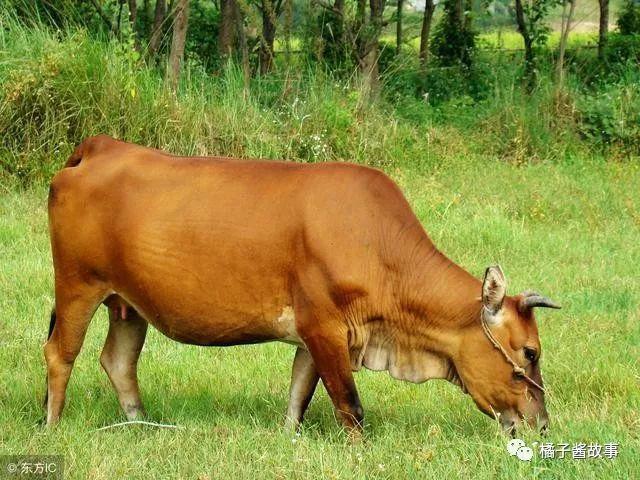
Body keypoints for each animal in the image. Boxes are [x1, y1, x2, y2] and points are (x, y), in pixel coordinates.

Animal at [43, 135, 560, 436]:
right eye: (529, 353)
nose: (541, 425)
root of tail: (101, 146)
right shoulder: (324, 327)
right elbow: (348, 403)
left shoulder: (316, 335)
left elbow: (300, 392)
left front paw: (290, 435)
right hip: (77, 285)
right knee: (59, 355)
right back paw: (52, 425)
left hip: (127, 303)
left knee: (118, 361)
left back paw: (140, 424)